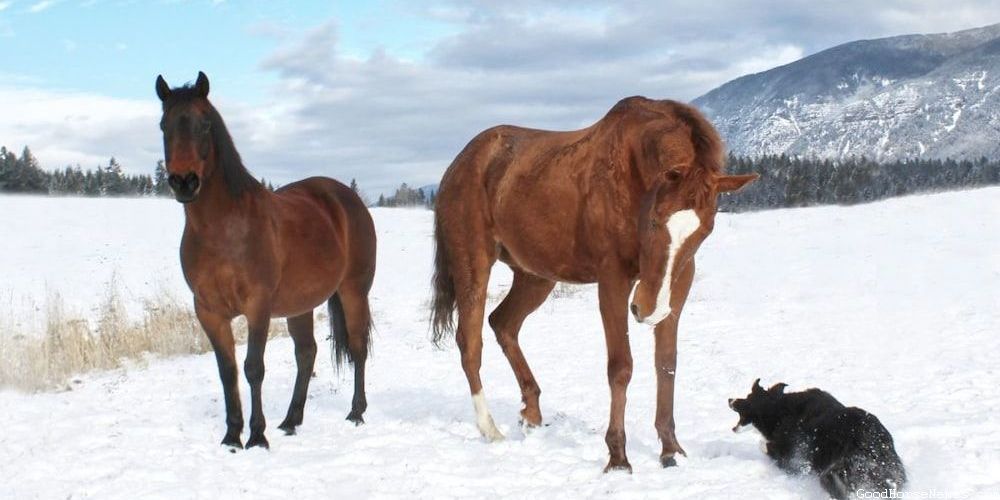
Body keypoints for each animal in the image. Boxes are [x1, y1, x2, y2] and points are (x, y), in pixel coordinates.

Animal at [155, 72, 376, 449]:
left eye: (204, 124)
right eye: (164, 125)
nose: (184, 182)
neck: (224, 229)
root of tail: (348, 198)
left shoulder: (257, 305)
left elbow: (253, 368)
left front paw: (257, 436)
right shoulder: (209, 311)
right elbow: (227, 371)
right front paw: (232, 435)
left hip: (354, 291)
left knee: (358, 347)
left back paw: (356, 413)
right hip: (301, 304)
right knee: (306, 353)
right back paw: (291, 420)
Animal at [431, 96, 757, 472]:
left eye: (705, 231)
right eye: (655, 220)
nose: (647, 308)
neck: (633, 175)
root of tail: (460, 164)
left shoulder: (678, 284)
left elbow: (666, 365)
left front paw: (670, 448)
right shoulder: (613, 279)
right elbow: (621, 367)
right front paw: (618, 456)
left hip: (535, 275)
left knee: (503, 324)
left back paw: (531, 412)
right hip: (473, 265)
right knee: (471, 344)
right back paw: (490, 430)